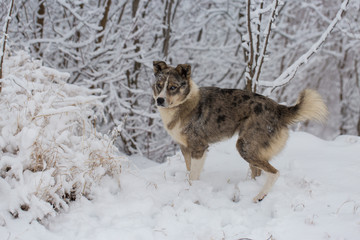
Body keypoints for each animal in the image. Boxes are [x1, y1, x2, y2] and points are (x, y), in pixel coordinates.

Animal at [150, 61, 328, 202]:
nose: (159, 100)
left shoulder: (199, 147)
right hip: (252, 149)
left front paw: (191, 191)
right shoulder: (185, 147)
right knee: (259, 172)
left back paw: (259, 196)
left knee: (275, 172)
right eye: (159, 85)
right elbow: (190, 170)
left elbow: (193, 175)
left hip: (244, 146)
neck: (184, 103)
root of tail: (278, 108)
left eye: (173, 87)